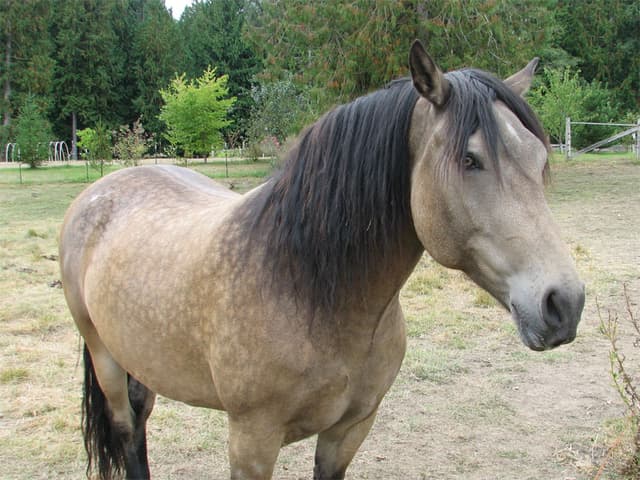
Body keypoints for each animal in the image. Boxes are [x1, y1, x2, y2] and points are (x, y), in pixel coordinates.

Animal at [59, 40, 585, 479]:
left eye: (539, 158)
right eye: (470, 160)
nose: (565, 304)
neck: (306, 290)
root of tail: (100, 191)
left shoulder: (349, 430)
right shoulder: (252, 442)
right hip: (106, 358)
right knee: (127, 430)